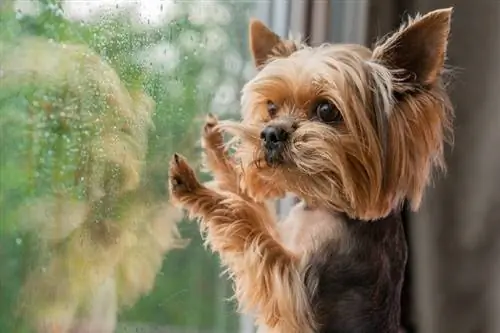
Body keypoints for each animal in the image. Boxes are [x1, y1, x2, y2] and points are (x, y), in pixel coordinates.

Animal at [168, 7, 454, 332]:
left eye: (326, 110)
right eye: (271, 108)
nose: (269, 134)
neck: (323, 205)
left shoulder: (295, 289)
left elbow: (246, 221)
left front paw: (196, 189)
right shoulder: (282, 236)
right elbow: (253, 205)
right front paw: (216, 150)